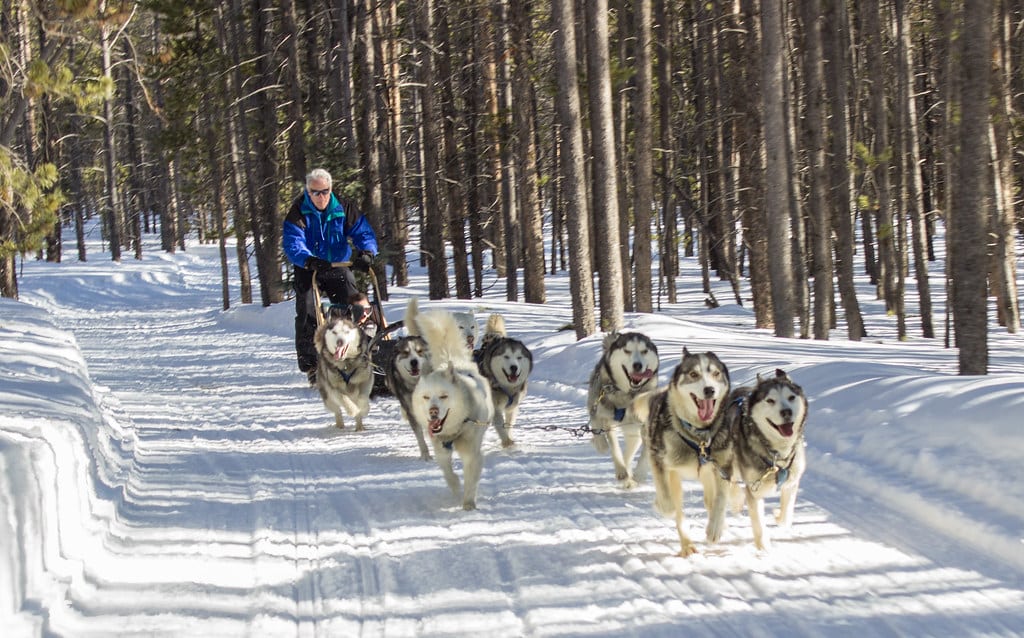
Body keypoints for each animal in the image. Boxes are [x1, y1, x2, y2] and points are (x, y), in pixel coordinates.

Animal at [405, 301, 493, 512]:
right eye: (426, 397)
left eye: (444, 396)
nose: (433, 412)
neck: (455, 429)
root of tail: (451, 361)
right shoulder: (440, 449)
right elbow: (448, 472)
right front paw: (455, 488)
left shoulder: (472, 453)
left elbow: (471, 480)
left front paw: (468, 503)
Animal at [473, 315, 532, 448]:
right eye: (506, 356)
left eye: (519, 357)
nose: (514, 367)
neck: (505, 387)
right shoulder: (495, 408)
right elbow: (500, 426)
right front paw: (507, 442)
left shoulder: (512, 407)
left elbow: (508, 424)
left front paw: (509, 438)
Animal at [589, 331, 659, 487]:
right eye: (627, 351)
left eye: (644, 351)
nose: (637, 365)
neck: (628, 395)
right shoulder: (607, 420)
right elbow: (614, 447)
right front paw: (620, 470)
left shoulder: (646, 425)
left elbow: (645, 454)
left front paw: (639, 474)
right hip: (596, 399)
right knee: (594, 419)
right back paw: (601, 444)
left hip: (633, 431)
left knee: (629, 452)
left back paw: (629, 478)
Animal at [634, 346, 733, 557]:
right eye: (693, 374)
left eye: (716, 373)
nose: (709, 390)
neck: (699, 436)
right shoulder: (661, 462)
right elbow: (669, 501)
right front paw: (663, 506)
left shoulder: (723, 467)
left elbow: (720, 499)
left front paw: (716, 528)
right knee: (679, 510)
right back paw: (687, 544)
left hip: (707, 474)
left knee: (709, 500)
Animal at [720, 372, 806, 553]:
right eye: (770, 400)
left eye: (791, 397)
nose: (786, 412)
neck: (778, 455)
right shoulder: (755, 490)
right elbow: (759, 523)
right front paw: (764, 546)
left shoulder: (792, 482)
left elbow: (786, 516)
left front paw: (778, 516)